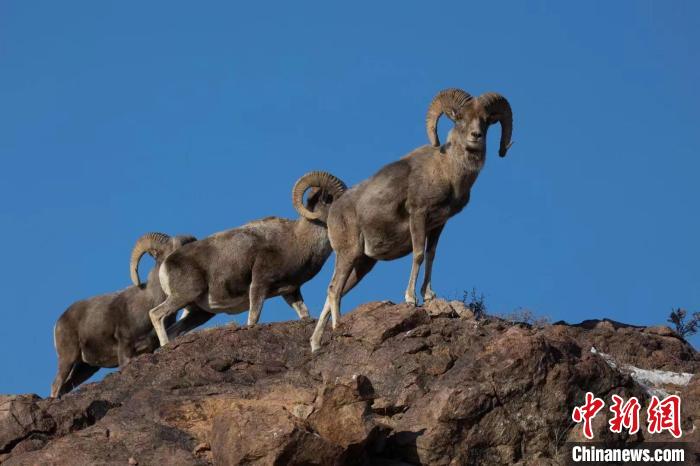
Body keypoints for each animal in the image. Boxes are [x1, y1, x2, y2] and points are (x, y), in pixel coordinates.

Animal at [147, 171, 348, 346]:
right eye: (333, 198)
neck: (298, 241)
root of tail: (166, 263)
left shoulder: (291, 292)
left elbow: (304, 314)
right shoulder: (259, 285)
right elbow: (253, 319)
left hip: (198, 312)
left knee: (174, 330)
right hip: (184, 296)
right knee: (156, 314)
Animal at [312, 87, 516, 352]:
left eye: (486, 120)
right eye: (460, 117)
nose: (476, 136)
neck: (448, 171)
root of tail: (333, 212)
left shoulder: (438, 224)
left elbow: (431, 255)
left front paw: (428, 295)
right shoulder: (418, 215)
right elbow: (418, 255)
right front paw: (411, 298)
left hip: (362, 264)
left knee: (334, 291)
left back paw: (315, 344)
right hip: (348, 254)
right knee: (334, 289)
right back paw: (338, 327)